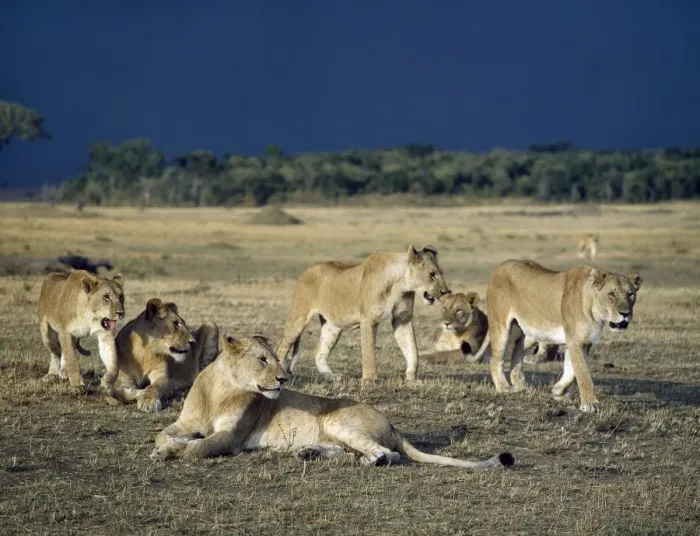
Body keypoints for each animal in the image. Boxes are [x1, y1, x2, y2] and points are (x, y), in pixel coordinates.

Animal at [150, 333, 514, 469]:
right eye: (263, 360)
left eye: (276, 359)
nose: (283, 379)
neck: (219, 390)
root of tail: (392, 423)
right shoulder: (184, 422)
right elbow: (162, 434)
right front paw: (164, 445)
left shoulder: (232, 437)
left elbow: (199, 447)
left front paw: (171, 452)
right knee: (346, 452)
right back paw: (307, 452)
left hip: (338, 420)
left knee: (389, 453)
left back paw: (372, 461)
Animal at [276, 245, 450, 382]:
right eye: (432, 274)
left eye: (441, 273)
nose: (446, 291)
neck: (400, 284)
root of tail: (307, 270)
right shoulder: (368, 319)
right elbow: (369, 352)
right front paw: (370, 380)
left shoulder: (402, 319)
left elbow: (412, 349)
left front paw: (412, 378)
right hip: (298, 317)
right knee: (281, 349)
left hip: (333, 326)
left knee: (319, 352)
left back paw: (332, 377)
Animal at [479, 259, 642, 412]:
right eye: (611, 294)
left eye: (630, 294)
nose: (625, 314)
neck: (596, 312)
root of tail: (502, 266)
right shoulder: (575, 340)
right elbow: (583, 373)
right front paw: (590, 404)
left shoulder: (584, 342)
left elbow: (571, 372)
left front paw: (558, 391)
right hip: (501, 327)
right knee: (495, 359)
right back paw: (504, 387)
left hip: (526, 334)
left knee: (516, 353)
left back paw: (520, 385)